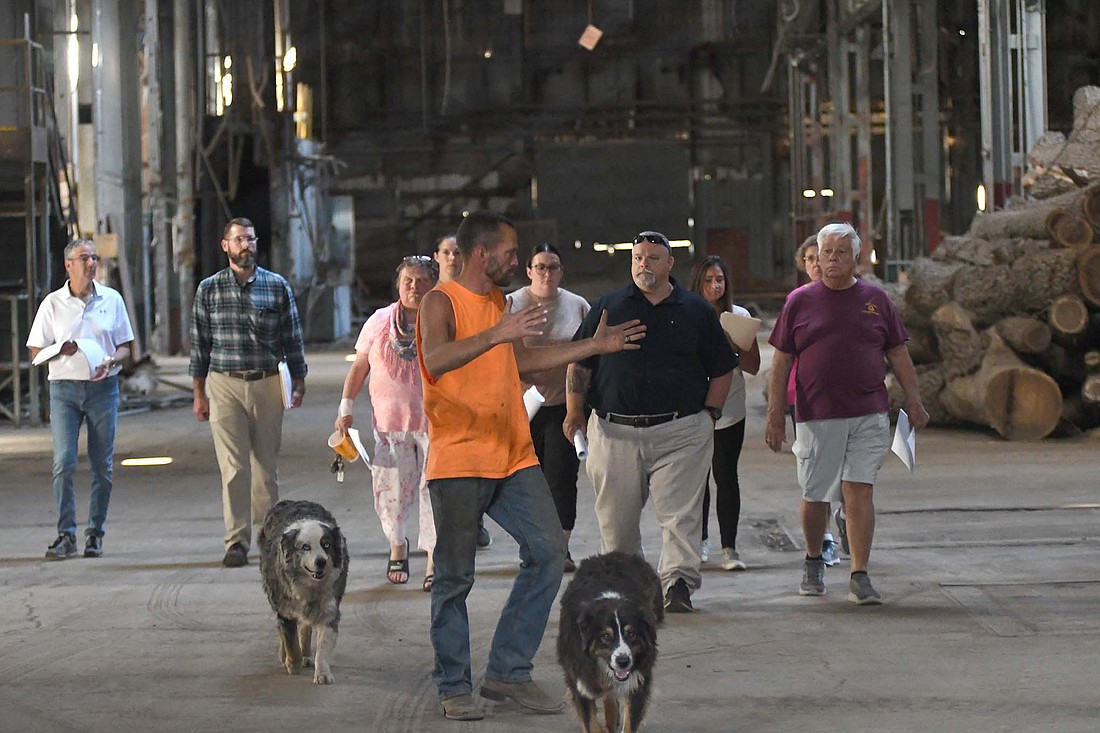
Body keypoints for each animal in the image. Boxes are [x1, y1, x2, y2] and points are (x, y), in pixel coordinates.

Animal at [257, 499, 347, 682]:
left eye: (326, 545)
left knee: (305, 626)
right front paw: (292, 664)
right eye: (305, 547)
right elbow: (290, 640)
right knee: (282, 630)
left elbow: (323, 646)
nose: (321, 562)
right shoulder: (284, 608)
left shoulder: (329, 608)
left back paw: (306, 654)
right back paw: (286, 655)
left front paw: (323, 674)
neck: (311, 585)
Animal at [558, 548, 660, 730]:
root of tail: (615, 553)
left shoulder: (638, 681)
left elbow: (629, 724)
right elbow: (590, 723)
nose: (623, 661)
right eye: (606, 636)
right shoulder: (580, 681)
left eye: (632, 633)